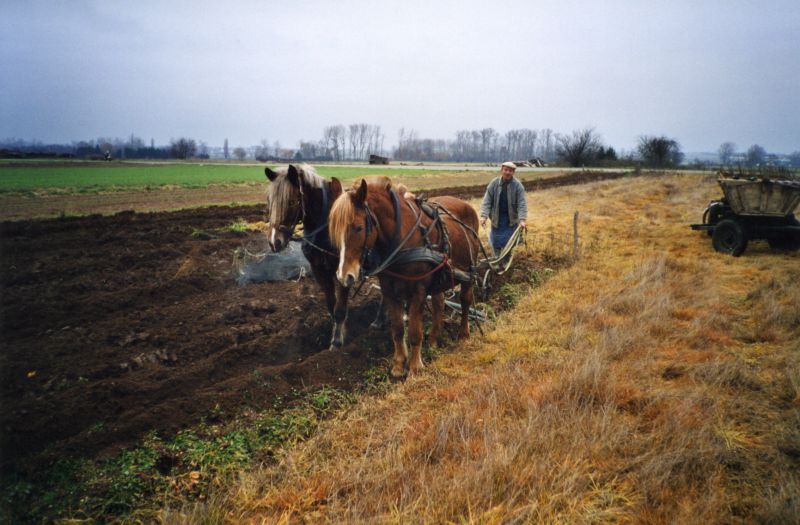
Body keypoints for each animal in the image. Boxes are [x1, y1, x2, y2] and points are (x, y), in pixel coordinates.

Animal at [328, 176, 478, 376]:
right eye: (334, 230)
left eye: (358, 228)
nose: (344, 276)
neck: (402, 240)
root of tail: (466, 206)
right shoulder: (389, 291)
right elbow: (398, 329)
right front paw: (399, 365)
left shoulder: (419, 291)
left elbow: (415, 330)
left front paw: (415, 367)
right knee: (439, 305)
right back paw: (433, 342)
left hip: (469, 270)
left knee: (465, 301)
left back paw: (463, 335)